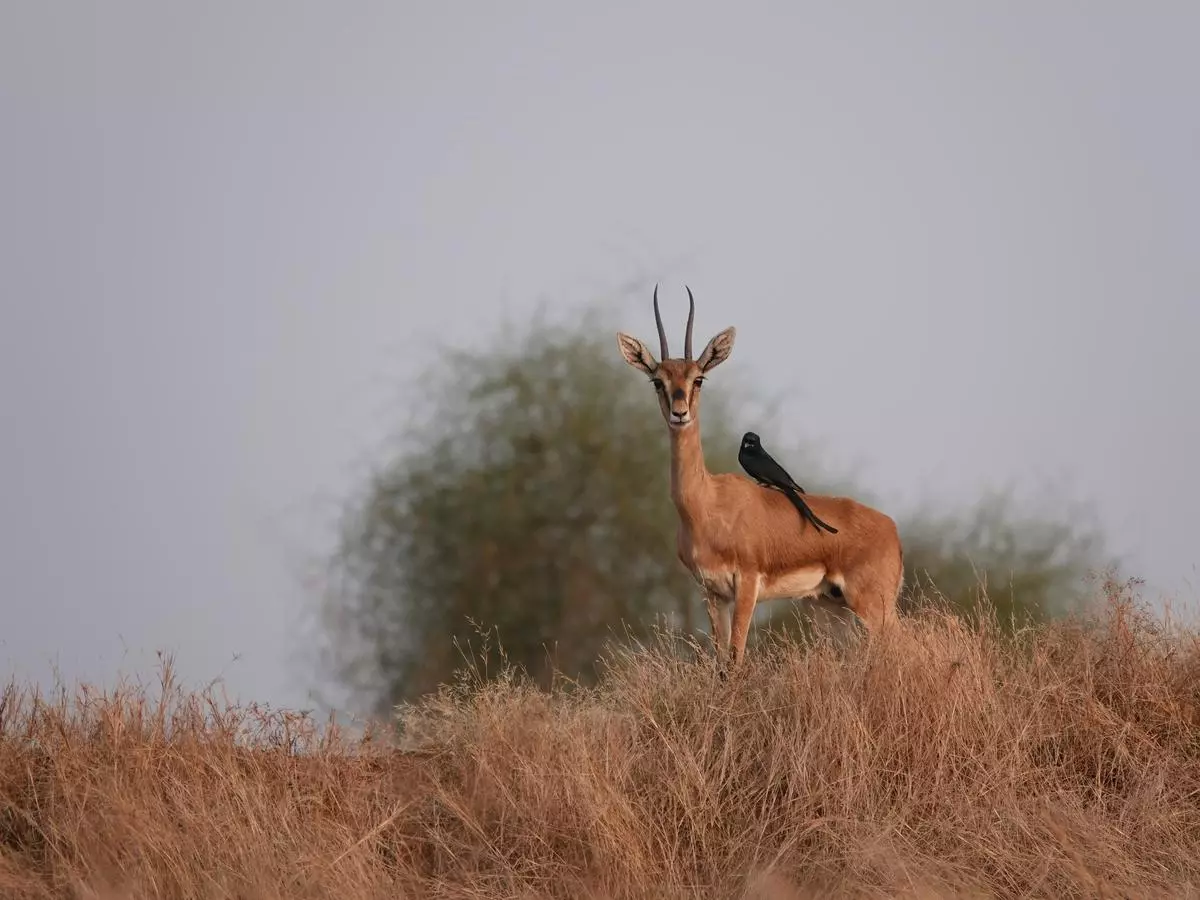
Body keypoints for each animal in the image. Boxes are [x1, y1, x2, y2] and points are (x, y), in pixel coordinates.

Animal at [619, 285, 902, 672]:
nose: (680, 413)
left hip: (873, 605)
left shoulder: (747, 585)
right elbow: (721, 661)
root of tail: (892, 529)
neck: (707, 505)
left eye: (698, 378)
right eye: (657, 381)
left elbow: (736, 658)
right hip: (832, 608)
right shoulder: (712, 592)